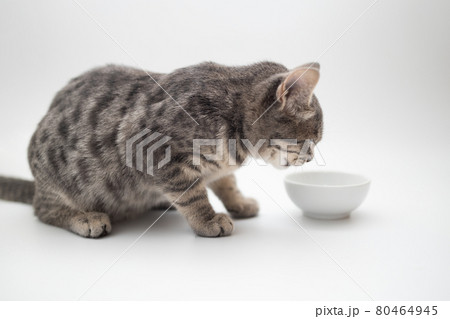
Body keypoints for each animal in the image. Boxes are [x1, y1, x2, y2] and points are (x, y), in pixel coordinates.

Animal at [0, 62, 324, 238]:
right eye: (311, 141)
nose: (310, 157)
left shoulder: (218, 167)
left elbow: (226, 182)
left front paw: (239, 202)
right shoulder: (154, 153)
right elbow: (193, 195)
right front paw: (207, 220)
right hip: (60, 180)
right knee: (43, 210)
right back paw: (84, 217)